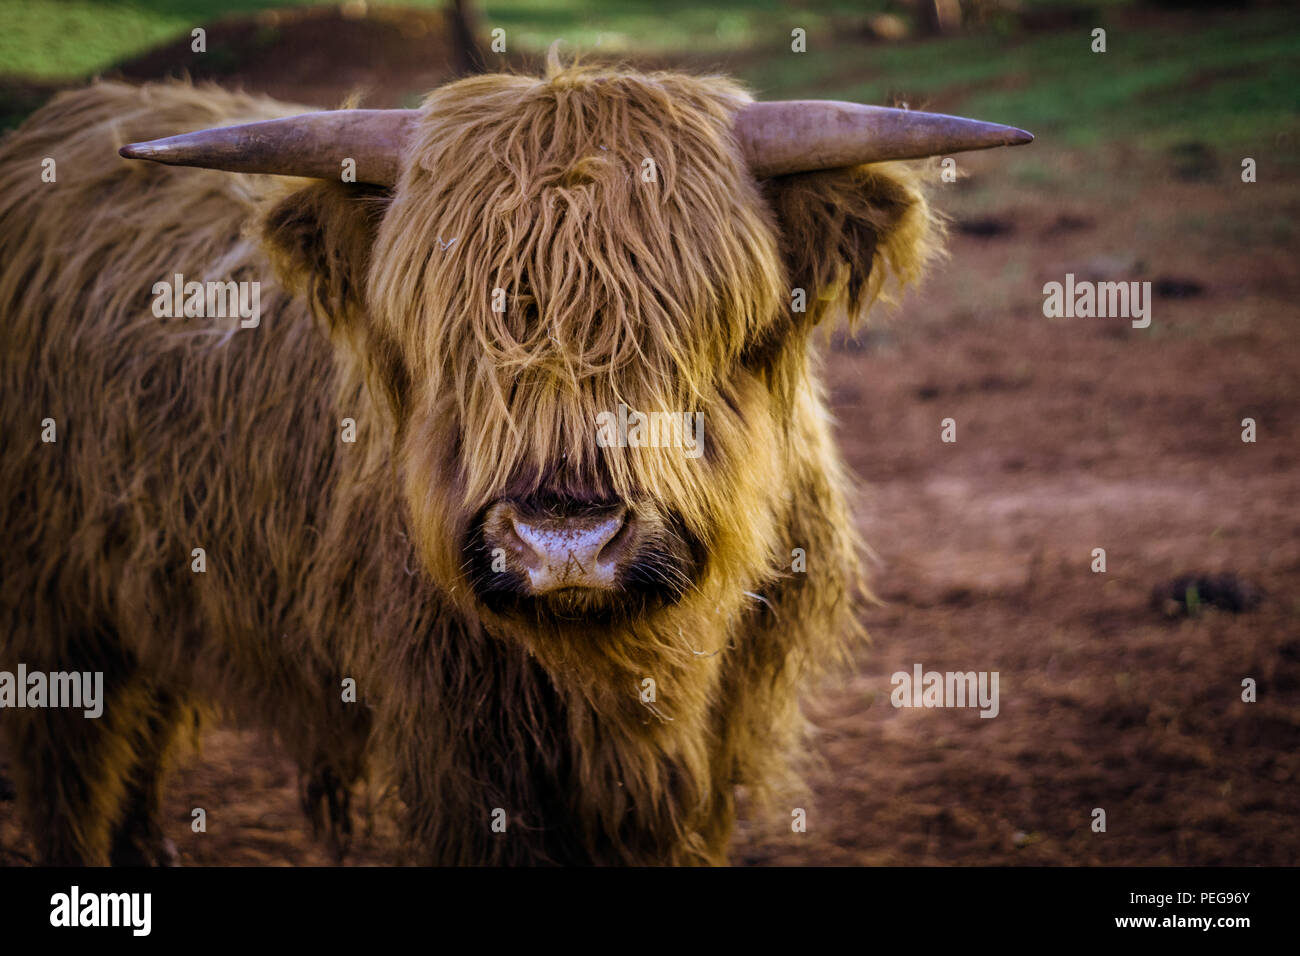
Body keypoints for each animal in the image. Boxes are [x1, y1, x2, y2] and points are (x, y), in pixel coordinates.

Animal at [0, 59, 1029, 868]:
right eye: (448, 333)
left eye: (704, 320)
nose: (564, 537)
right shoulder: (466, 759)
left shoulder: (718, 755)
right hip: (51, 614)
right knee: (70, 768)